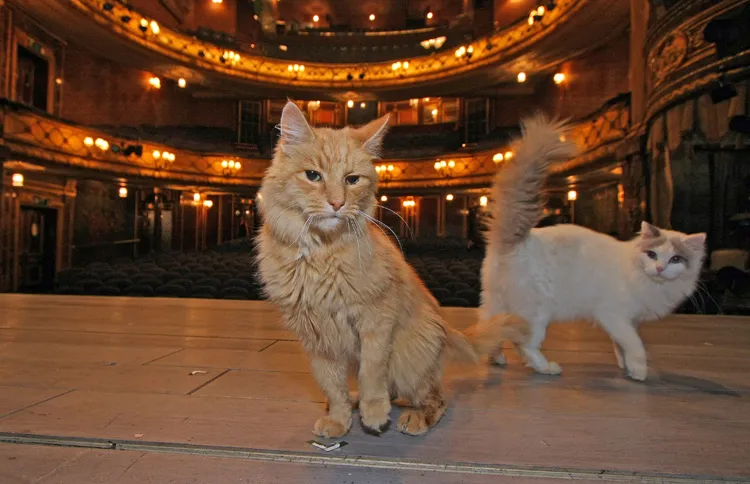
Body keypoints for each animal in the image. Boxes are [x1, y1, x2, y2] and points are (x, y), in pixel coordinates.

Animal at [256, 100, 524, 436]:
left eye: (352, 180)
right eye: (313, 175)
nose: (337, 204)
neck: (321, 254)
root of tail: (446, 330)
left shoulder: (376, 320)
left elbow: (372, 372)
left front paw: (373, 413)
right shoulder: (315, 336)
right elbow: (331, 385)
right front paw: (340, 420)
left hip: (412, 355)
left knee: (435, 398)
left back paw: (414, 417)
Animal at [484, 115, 708, 380]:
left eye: (675, 259)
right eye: (652, 254)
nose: (660, 268)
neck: (645, 279)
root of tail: (516, 239)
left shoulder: (626, 320)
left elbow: (620, 345)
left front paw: (625, 366)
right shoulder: (614, 315)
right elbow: (635, 345)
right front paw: (639, 371)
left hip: (494, 303)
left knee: (493, 333)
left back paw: (497, 358)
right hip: (537, 312)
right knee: (525, 345)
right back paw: (547, 368)